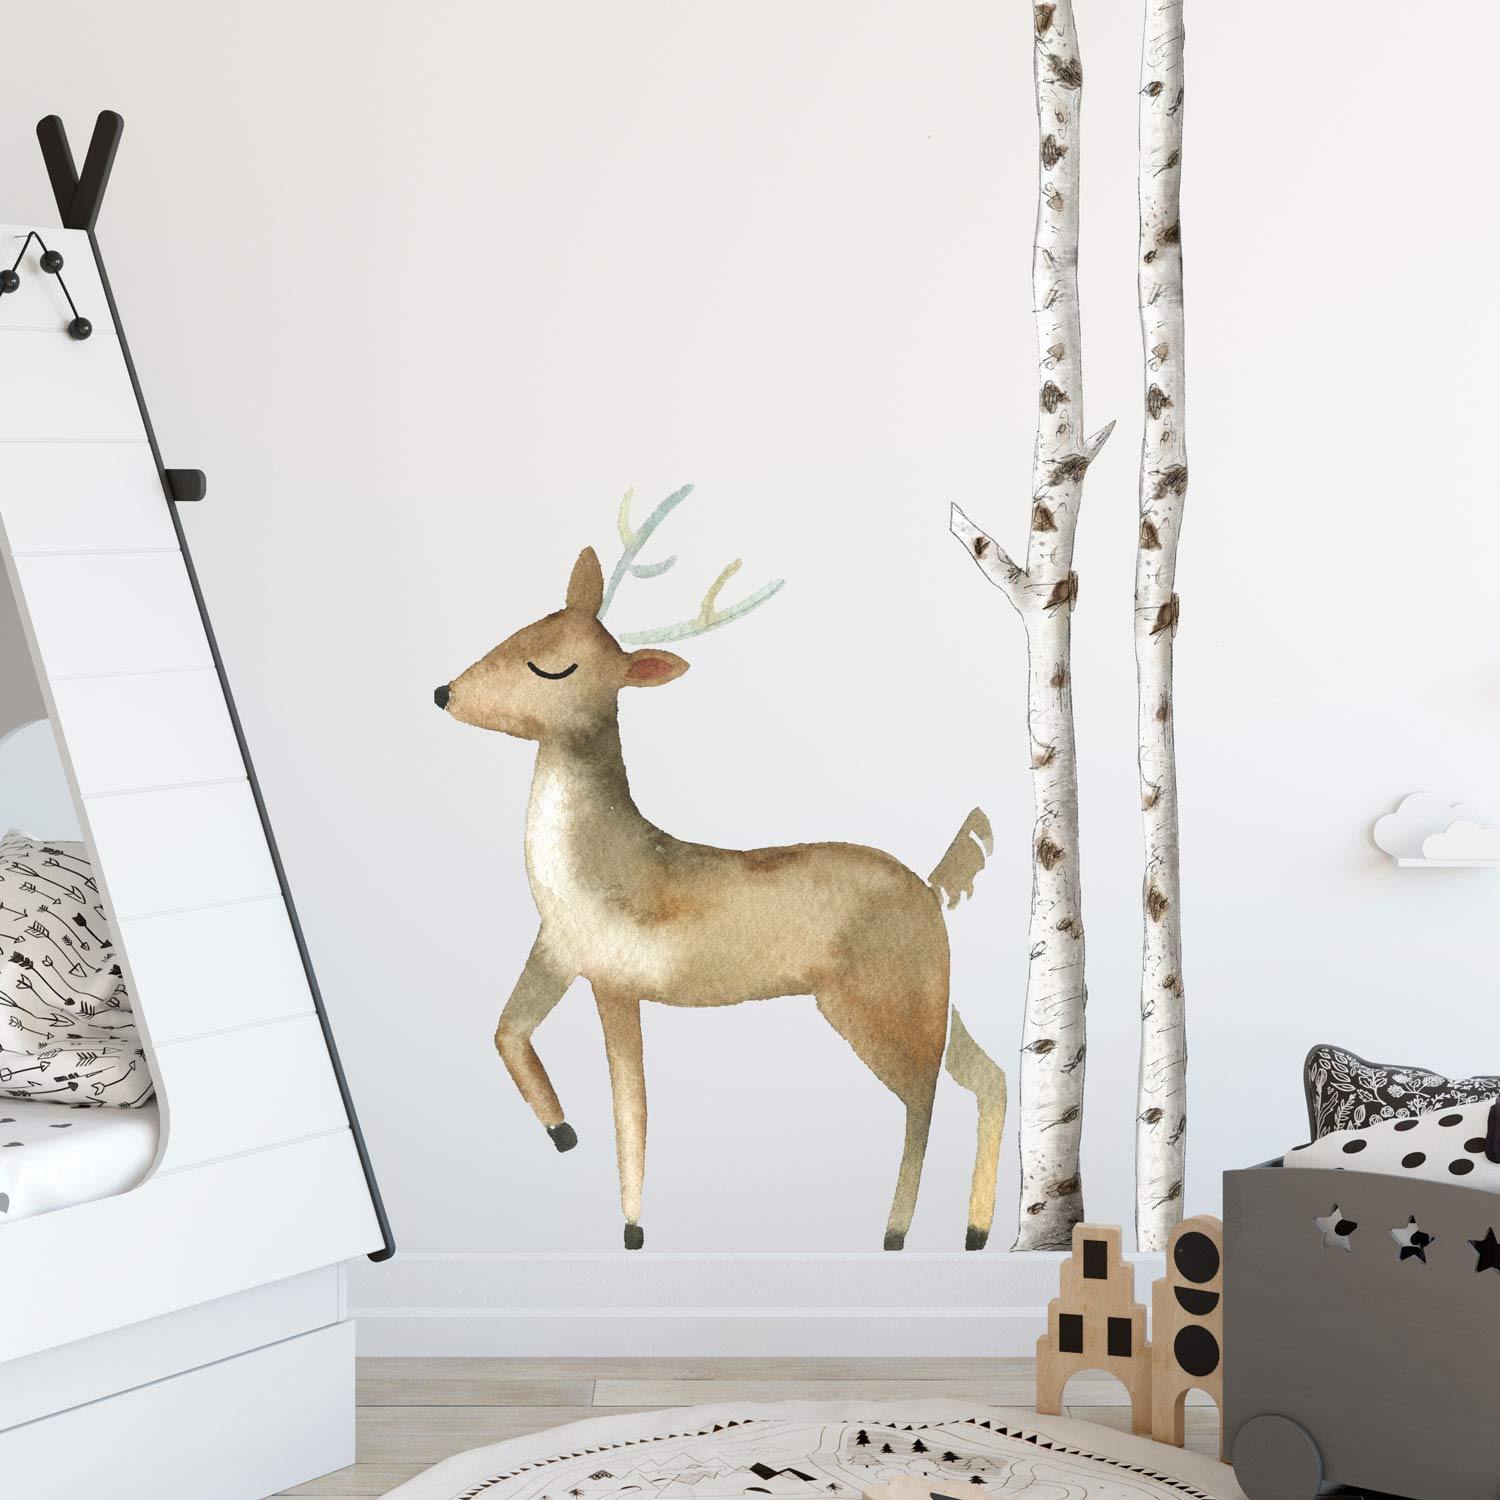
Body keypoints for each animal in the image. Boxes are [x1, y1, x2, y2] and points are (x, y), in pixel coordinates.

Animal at [436, 485, 1007, 1250]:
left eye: (555, 667)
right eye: (522, 629)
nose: (443, 693)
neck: (597, 867)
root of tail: (936, 886)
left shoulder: (616, 980)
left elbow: (632, 1107)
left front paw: (633, 1228)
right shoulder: (554, 953)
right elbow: (506, 1032)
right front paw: (563, 1132)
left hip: (873, 1001)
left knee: (924, 1100)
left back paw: (894, 1232)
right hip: (932, 999)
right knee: (987, 1076)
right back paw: (974, 1229)